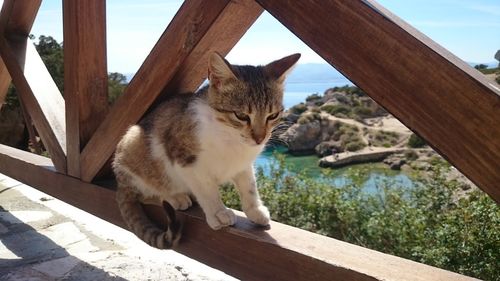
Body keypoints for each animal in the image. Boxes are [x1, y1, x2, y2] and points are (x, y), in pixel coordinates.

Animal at [113, 52, 300, 247]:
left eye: (273, 115)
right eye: (241, 115)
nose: (259, 138)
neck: (229, 136)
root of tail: (121, 183)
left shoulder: (243, 164)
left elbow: (249, 185)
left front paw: (255, 210)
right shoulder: (186, 160)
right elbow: (207, 189)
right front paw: (219, 212)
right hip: (134, 144)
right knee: (147, 190)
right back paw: (175, 197)